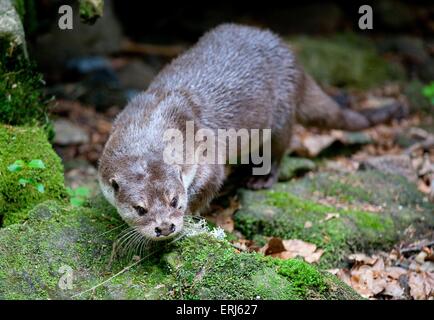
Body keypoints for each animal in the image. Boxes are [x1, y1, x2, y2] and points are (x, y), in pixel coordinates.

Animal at [97, 24, 400, 240]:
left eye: (175, 200)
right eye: (140, 208)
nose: (165, 227)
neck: (153, 119)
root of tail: (295, 62)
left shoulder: (203, 146)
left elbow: (210, 180)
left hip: (280, 117)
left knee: (279, 150)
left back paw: (260, 178)